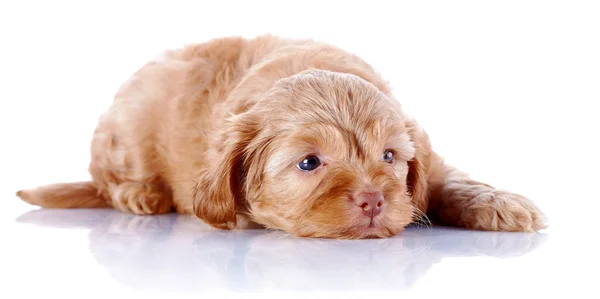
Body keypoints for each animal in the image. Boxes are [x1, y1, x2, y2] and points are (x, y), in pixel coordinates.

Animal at [15, 34, 548, 239]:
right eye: (310, 163)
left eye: (390, 156)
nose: (374, 199)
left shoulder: (430, 156)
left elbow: (447, 178)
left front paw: (501, 203)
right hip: (127, 129)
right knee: (109, 177)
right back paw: (139, 194)